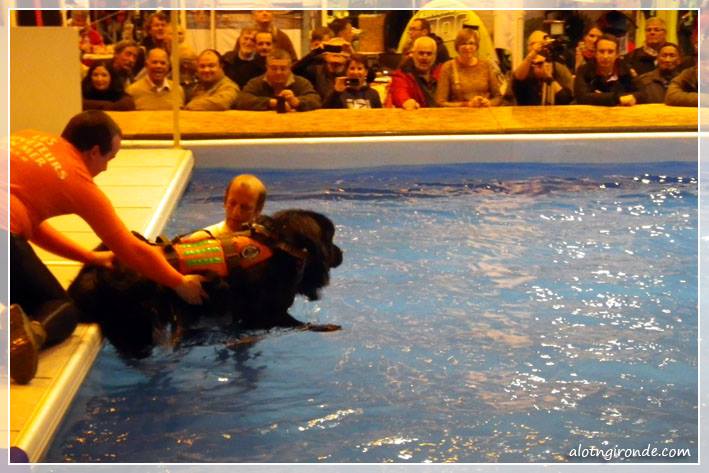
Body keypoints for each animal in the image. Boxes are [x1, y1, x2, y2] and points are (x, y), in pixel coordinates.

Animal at [68, 209, 343, 358]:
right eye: (330, 240)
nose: (342, 253)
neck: (281, 246)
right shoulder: (265, 316)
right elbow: (302, 325)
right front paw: (329, 327)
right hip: (138, 326)